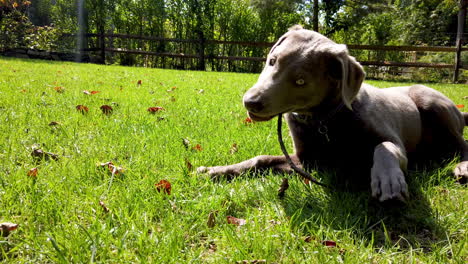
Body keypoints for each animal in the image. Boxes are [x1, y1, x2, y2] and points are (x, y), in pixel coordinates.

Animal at [197, 25, 468, 202]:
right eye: (272, 61)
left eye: (300, 81)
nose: (250, 102)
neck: (324, 121)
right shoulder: (307, 161)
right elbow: (260, 159)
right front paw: (217, 170)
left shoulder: (393, 141)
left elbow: (385, 147)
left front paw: (389, 180)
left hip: (432, 103)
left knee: (462, 145)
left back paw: (462, 167)